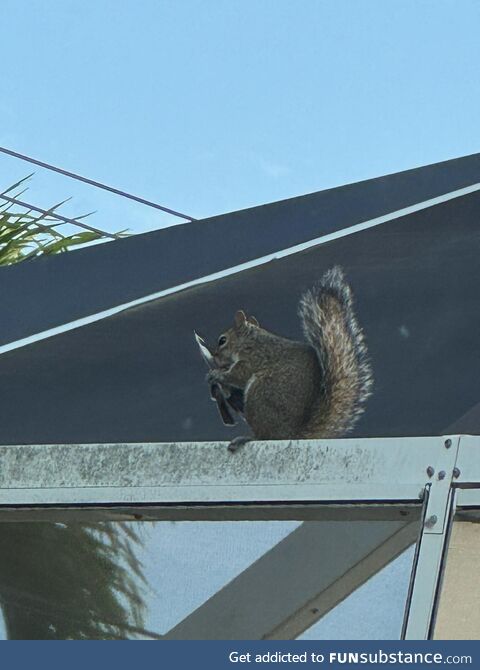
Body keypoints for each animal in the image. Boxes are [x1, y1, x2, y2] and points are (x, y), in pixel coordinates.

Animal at [202, 266, 372, 452]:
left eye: (222, 340)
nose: (215, 357)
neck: (250, 340)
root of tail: (290, 433)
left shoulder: (253, 358)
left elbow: (238, 375)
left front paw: (217, 374)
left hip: (260, 393)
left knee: (264, 436)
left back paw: (246, 438)